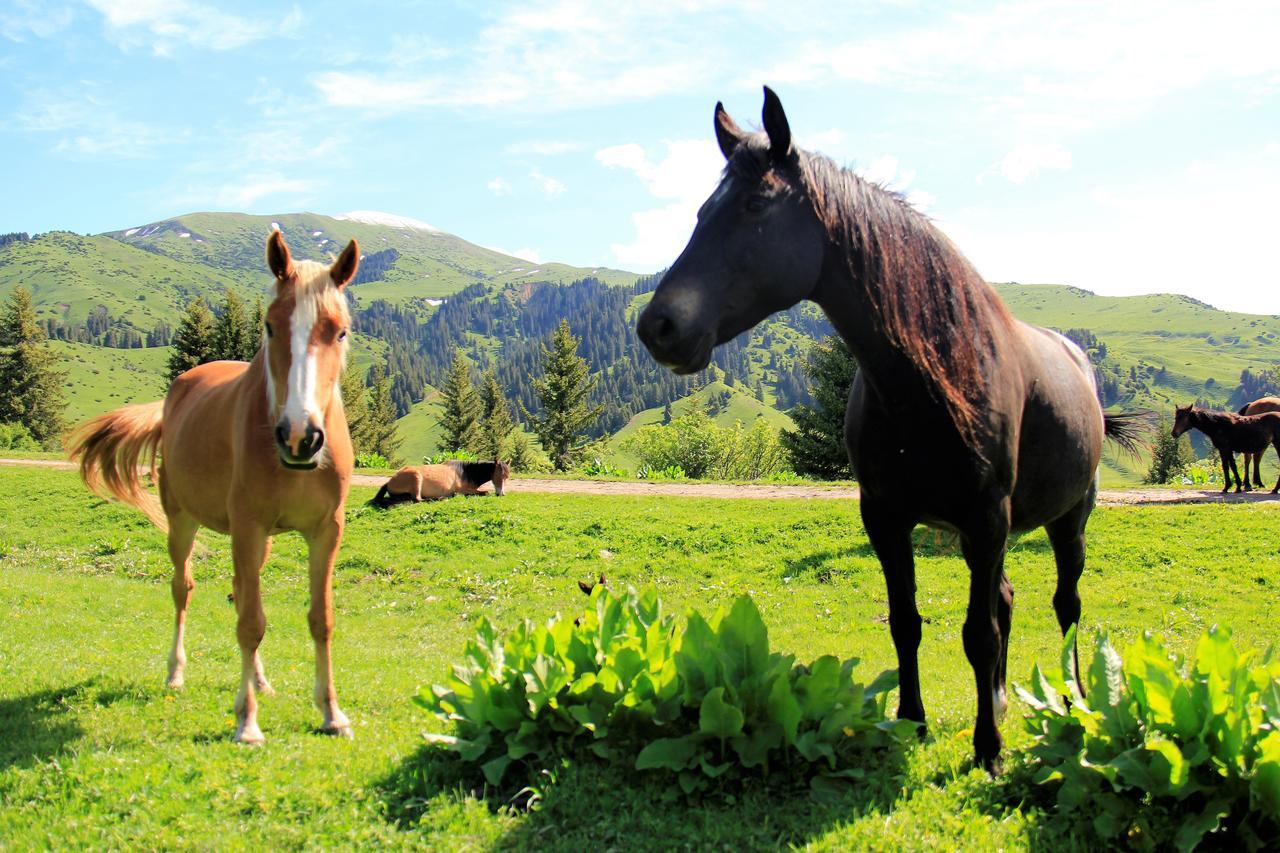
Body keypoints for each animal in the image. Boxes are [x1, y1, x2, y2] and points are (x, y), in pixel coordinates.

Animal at [70, 229, 360, 742]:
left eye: (339, 331)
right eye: (269, 326)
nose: (300, 436)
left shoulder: (326, 531)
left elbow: (319, 619)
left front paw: (331, 712)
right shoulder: (246, 526)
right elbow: (250, 624)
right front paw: (246, 722)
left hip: (259, 541)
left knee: (240, 590)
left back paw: (261, 680)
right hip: (183, 525)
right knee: (183, 588)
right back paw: (176, 672)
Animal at [371, 458, 509, 504]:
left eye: (507, 477)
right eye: (499, 475)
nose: (501, 494)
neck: (465, 472)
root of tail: (390, 482)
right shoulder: (462, 489)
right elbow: (485, 492)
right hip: (416, 477)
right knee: (418, 499)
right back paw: (441, 498)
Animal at [634, 87, 1146, 768]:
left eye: (754, 205)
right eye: (700, 211)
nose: (658, 327)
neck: (928, 384)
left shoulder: (987, 518)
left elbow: (978, 634)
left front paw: (988, 749)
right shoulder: (887, 516)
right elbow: (907, 622)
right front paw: (912, 721)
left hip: (1067, 521)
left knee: (1066, 608)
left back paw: (1074, 700)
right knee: (1008, 600)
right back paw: (1001, 699)